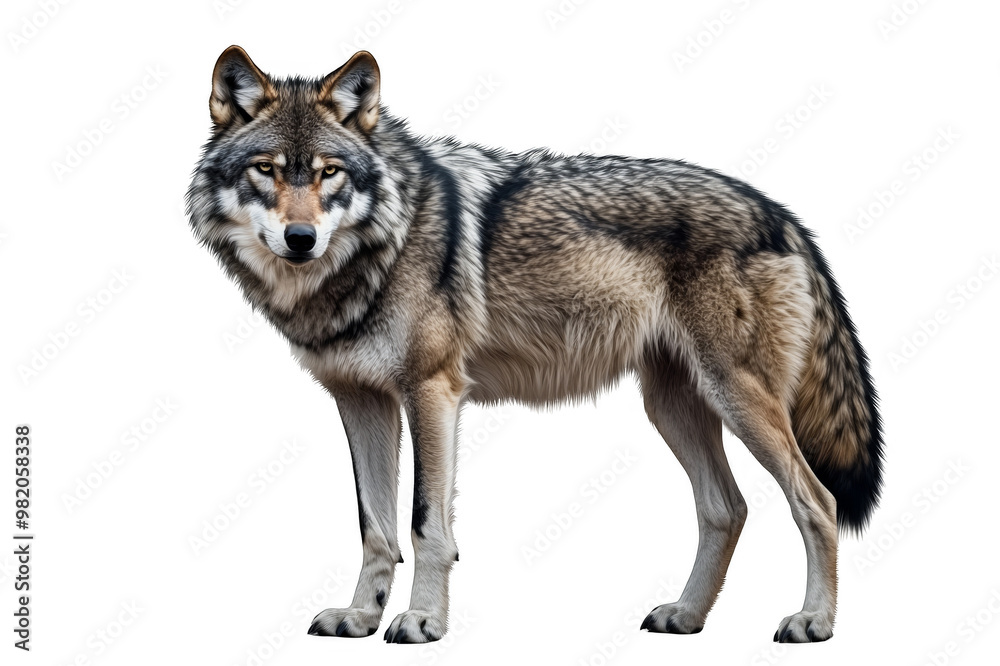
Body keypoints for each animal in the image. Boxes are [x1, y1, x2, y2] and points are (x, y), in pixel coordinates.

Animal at [187, 46, 883, 644]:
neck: (381, 244)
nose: (300, 238)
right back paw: (686, 616)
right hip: (673, 407)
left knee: (815, 500)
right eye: (267, 171)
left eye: (329, 173)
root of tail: (781, 213)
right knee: (726, 509)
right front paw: (360, 618)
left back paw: (814, 622)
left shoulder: (433, 392)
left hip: (737, 399)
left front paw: (423, 622)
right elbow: (375, 527)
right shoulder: (361, 402)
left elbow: (425, 523)